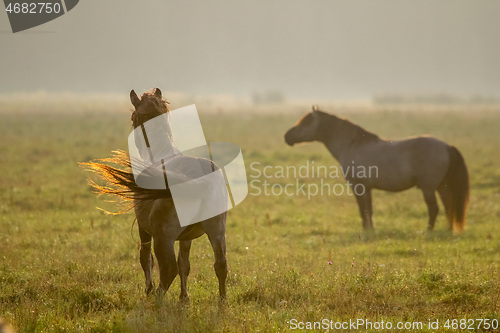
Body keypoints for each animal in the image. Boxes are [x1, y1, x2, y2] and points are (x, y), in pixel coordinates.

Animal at [82, 88, 229, 298]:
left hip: (164, 238)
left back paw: (156, 297)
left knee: (168, 268)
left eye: (133, 116)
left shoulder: (144, 228)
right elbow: (185, 265)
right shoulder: (187, 238)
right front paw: (184, 298)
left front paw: (148, 289)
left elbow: (146, 258)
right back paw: (222, 301)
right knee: (220, 265)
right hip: (217, 231)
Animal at [286, 106, 468, 231]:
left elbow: (363, 210)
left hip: (428, 187)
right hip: (442, 186)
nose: (286, 136)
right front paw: (371, 230)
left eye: (306, 122)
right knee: (449, 206)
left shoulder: (357, 186)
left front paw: (366, 231)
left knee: (434, 208)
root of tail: (446, 146)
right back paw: (448, 230)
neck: (353, 145)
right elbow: (369, 210)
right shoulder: (367, 188)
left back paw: (428, 231)